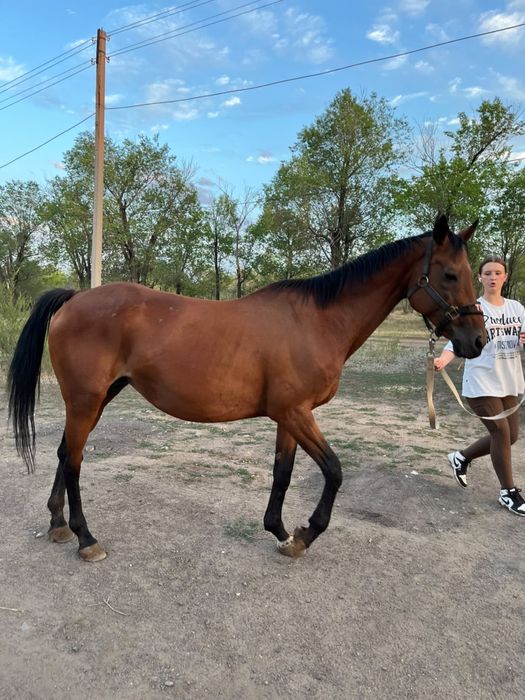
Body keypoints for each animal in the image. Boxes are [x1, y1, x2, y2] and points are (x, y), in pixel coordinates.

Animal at [8, 214, 485, 562]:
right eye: (448, 275)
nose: (477, 341)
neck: (317, 321)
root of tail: (74, 299)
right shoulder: (296, 412)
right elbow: (333, 470)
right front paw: (306, 533)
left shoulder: (289, 416)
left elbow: (283, 473)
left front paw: (280, 532)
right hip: (86, 399)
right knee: (73, 461)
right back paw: (86, 539)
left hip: (98, 398)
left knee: (64, 453)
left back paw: (58, 525)